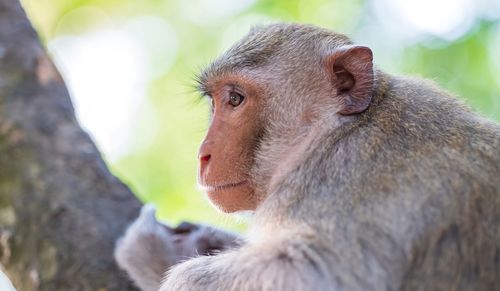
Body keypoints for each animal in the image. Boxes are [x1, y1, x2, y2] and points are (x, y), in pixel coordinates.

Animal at [113, 23, 500, 291]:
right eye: (215, 101)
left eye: (235, 99)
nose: (203, 155)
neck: (335, 131)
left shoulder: (348, 178)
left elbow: (318, 271)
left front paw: (157, 256)